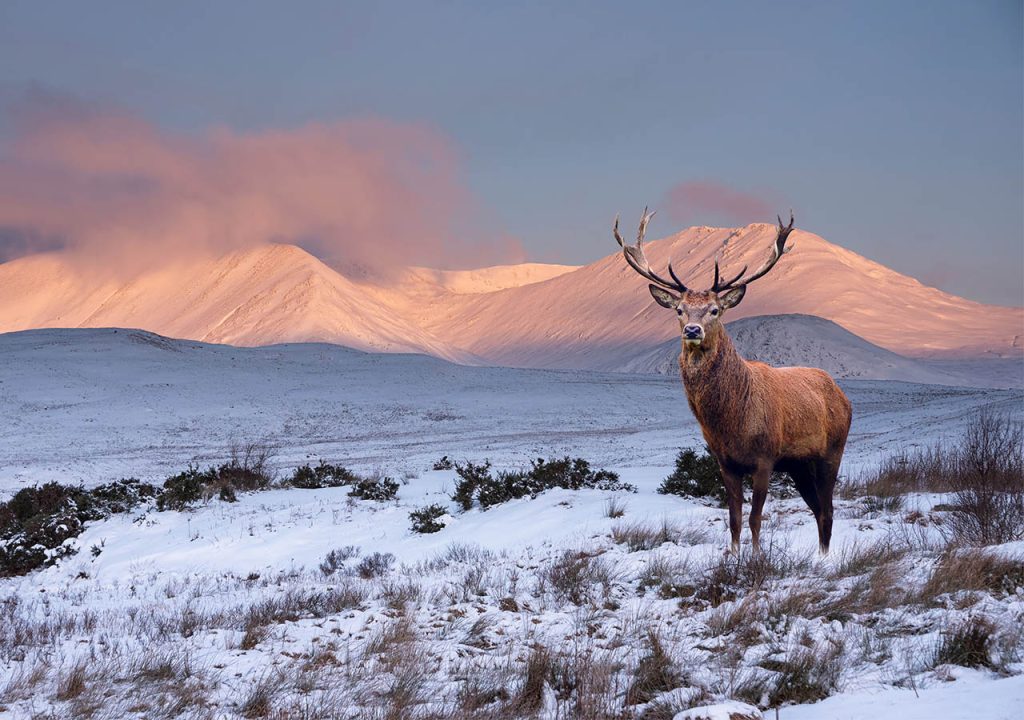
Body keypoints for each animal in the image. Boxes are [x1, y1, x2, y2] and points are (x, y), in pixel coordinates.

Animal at [615, 209, 852, 555]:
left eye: (715, 309)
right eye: (680, 310)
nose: (693, 330)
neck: (732, 422)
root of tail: (842, 394)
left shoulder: (765, 457)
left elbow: (755, 518)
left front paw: (756, 557)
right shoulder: (725, 462)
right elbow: (734, 519)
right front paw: (735, 556)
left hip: (833, 450)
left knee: (828, 509)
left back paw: (824, 558)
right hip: (799, 465)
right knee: (818, 508)